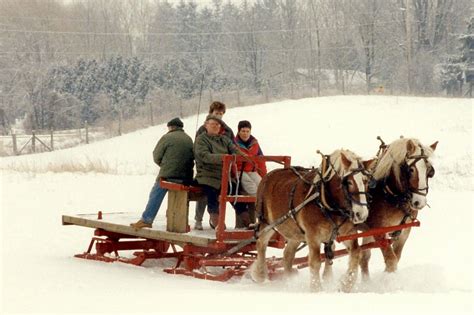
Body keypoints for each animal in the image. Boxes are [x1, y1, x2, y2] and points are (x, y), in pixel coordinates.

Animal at [250, 149, 376, 292]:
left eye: (366, 181)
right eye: (349, 182)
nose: (362, 214)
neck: (326, 201)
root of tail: (269, 174)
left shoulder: (346, 233)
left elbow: (356, 252)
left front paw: (345, 284)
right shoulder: (313, 235)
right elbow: (315, 261)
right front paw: (317, 288)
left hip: (296, 233)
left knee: (288, 255)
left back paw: (289, 281)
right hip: (267, 223)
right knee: (261, 243)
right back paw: (260, 274)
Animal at [362, 137, 438, 280]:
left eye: (430, 171)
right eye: (411, 170)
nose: (419, 202)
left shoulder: (404, 231)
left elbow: (396, 258)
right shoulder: (378, 230)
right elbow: (391, 261)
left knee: (363, 256)